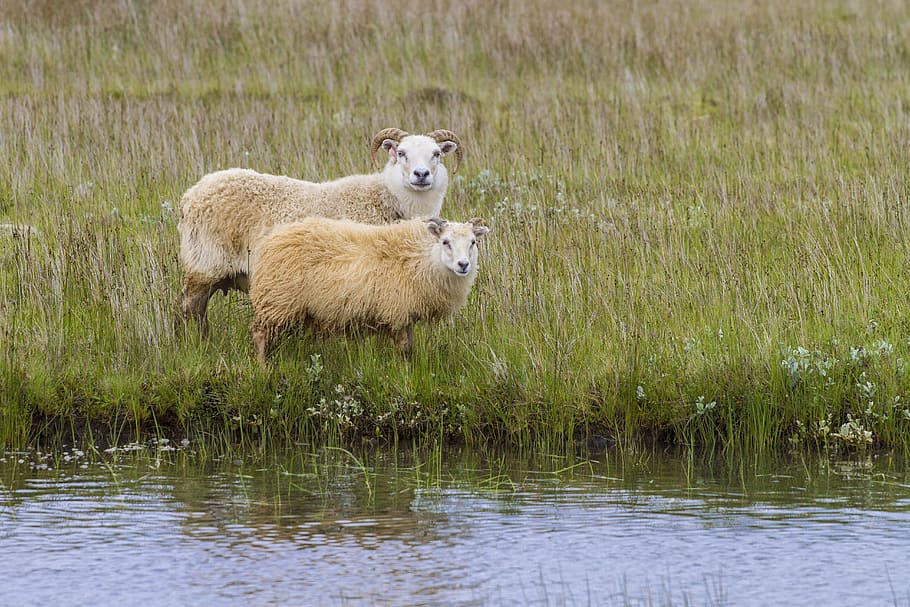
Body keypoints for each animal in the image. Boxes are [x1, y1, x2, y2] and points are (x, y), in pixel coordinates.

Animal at [177, 128, 463, 333]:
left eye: (437, 154)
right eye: (401, 153)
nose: (421, 174)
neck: (388, 199)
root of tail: (191, 195)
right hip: (205, 262)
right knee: (192, 308)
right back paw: (198, 343)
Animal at [249, 216, 489, 362]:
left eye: (473, 242)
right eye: (446, 242)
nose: (463, 265)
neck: (421, 260)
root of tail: (271, 239)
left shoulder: (406, 315)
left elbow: (409, 347)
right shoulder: (397, 312)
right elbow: (403, 348)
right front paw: (405, 372)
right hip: (277, 301)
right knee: (259, 334)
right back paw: (263, 368)